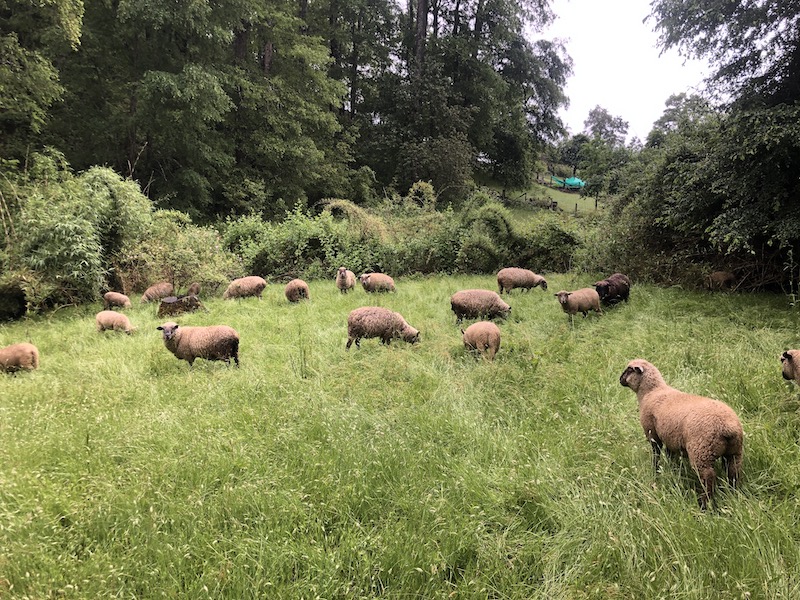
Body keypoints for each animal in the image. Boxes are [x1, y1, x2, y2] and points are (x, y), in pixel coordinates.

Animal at [620, 358, 744, 508]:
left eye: (628, 370)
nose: (620, 380)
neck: (651, 392)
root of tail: (728, 427)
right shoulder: (670, 438)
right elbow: (670, 455)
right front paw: (671, 470)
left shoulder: (652, 433)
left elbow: (656, 454)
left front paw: (655, 471)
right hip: (734, 452)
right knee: (733, 472)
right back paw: (732, 494)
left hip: (701, 452)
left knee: (708, 477)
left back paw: (704, 504)